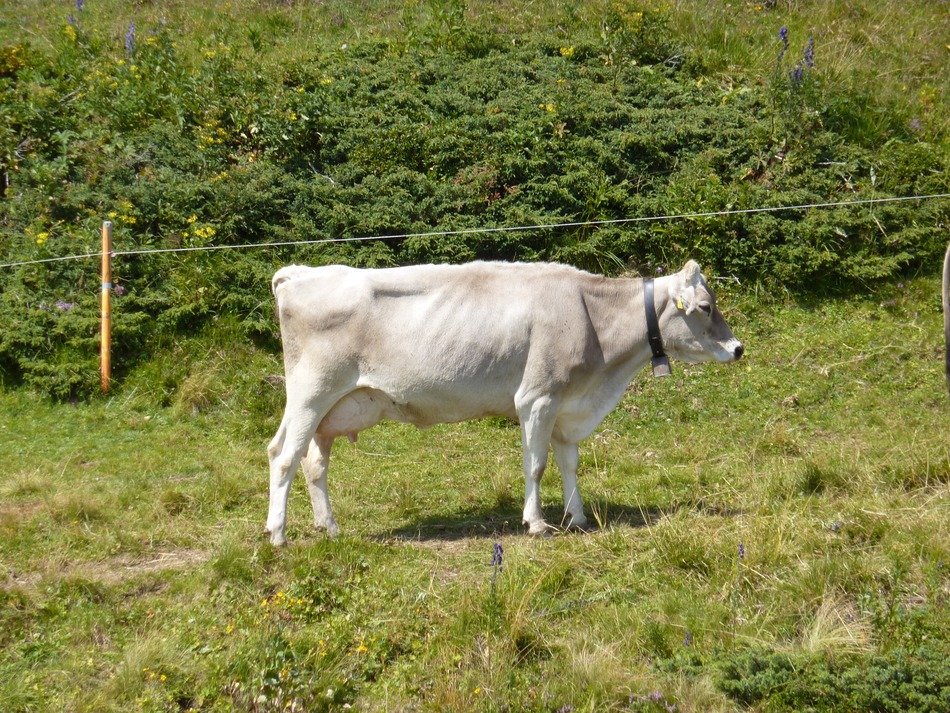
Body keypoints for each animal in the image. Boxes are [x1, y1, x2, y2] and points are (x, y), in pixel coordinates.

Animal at [265, 260, 744, 545]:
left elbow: (570, 464)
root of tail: (300, 273)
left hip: (331, 409)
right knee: (283, 456)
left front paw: (578, 517)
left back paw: (329, 527)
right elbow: (536, 464)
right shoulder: (537, 397)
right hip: (310, 392)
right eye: (705, 306)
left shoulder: (568, 406)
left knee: (313, 462)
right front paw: (536, 522)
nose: (738, 348)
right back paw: (277, 534)